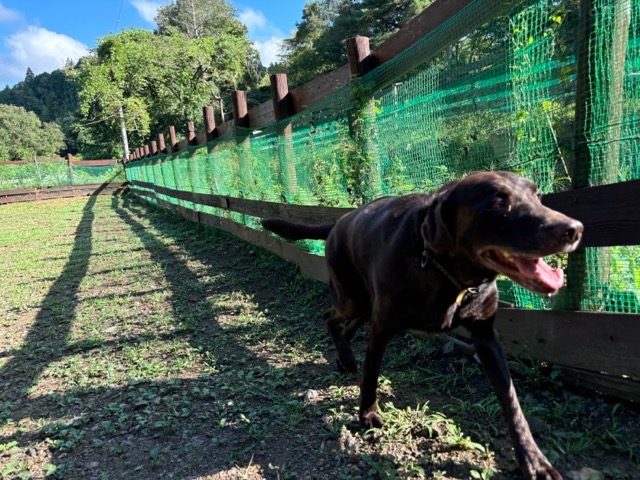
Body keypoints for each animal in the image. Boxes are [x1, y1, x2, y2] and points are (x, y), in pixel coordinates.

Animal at [262, 171, 582, 479]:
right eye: (497, 202)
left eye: (538, 196)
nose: (575, 229)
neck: (447, 273)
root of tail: (339, 221)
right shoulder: (381, 328)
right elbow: (370, 376)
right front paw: (367, 414)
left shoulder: (486, 338)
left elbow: (512, 404)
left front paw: (535, 462)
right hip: (352, 298)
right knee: (330, 317)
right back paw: (346, 356)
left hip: (365, 304)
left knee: (347, 326)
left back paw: (346, 357)